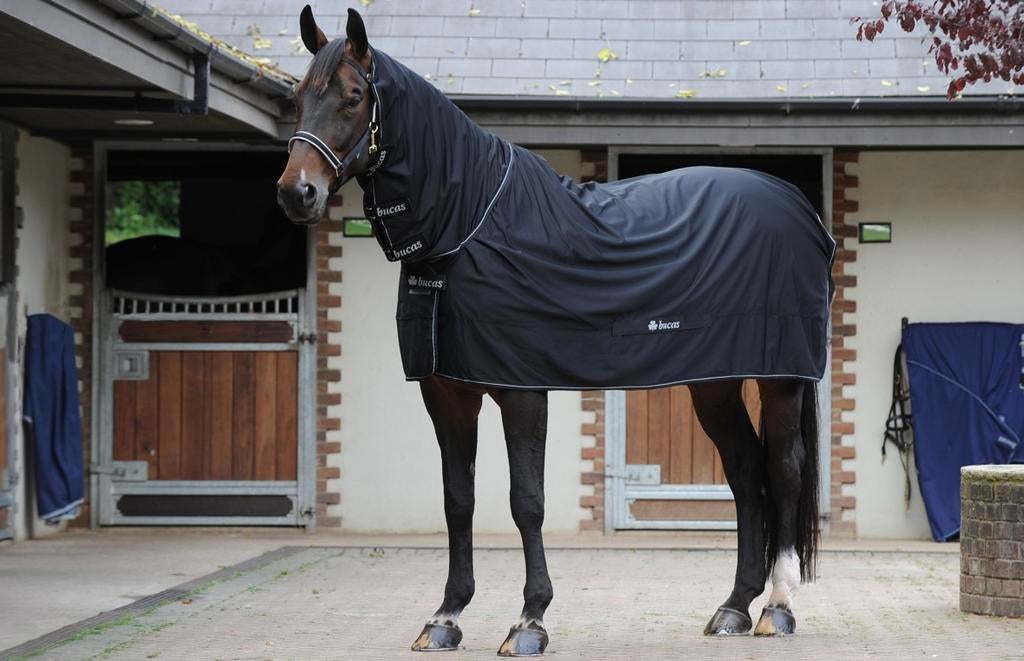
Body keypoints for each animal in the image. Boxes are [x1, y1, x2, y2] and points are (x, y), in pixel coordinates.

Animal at [277, 7, 835, 656]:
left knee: (784, 471)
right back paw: (733, 608)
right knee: (746, 474)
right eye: (296, 97)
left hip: (780, 379)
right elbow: (458, 501)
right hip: (714, 384)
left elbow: (527, 502)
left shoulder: (522, 391)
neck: (468, 222)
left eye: (353, 96)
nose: (297, 193)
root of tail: (798, 204)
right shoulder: (446, 394)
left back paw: (778, 607)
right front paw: (446, 616)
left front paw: (529, 620)